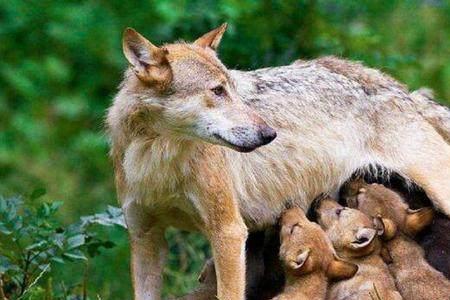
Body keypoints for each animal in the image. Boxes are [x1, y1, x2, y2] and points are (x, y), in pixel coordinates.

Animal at [107, 24, 450, 300]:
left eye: (233, 89)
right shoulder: (145, 237)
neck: (156, 158)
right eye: (217, 91)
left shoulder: (229, 233)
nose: (269, 134)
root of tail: (402, 91)